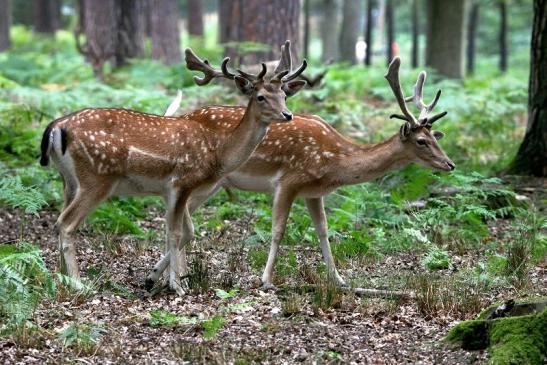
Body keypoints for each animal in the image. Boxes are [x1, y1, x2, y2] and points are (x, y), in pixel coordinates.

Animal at [39, 47, 308, 294]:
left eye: (283, 94)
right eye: (261, 96)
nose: (287, 115)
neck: (217, 152)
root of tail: (56, 127)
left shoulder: (172, 190)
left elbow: (184, 231)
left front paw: (156, 279)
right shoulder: (182, 181)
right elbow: (177, 233)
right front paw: (176, 286)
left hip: (69, 180)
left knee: (60, 221)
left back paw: (61, 278)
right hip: (97, 177)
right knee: (66, 223)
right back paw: (79, 284)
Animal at [144, 55, 454, 292]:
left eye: (436, 136)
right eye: (422, 141)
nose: (449, 164)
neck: (335, 163)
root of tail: (180, 117)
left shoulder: (313, 192)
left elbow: (324, 231)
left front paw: (339, 280)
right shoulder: (289, 181)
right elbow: (278, 230)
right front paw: (266, 280)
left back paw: (162, 277)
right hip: (206, 181)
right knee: (175, 217)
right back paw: (171, 277)